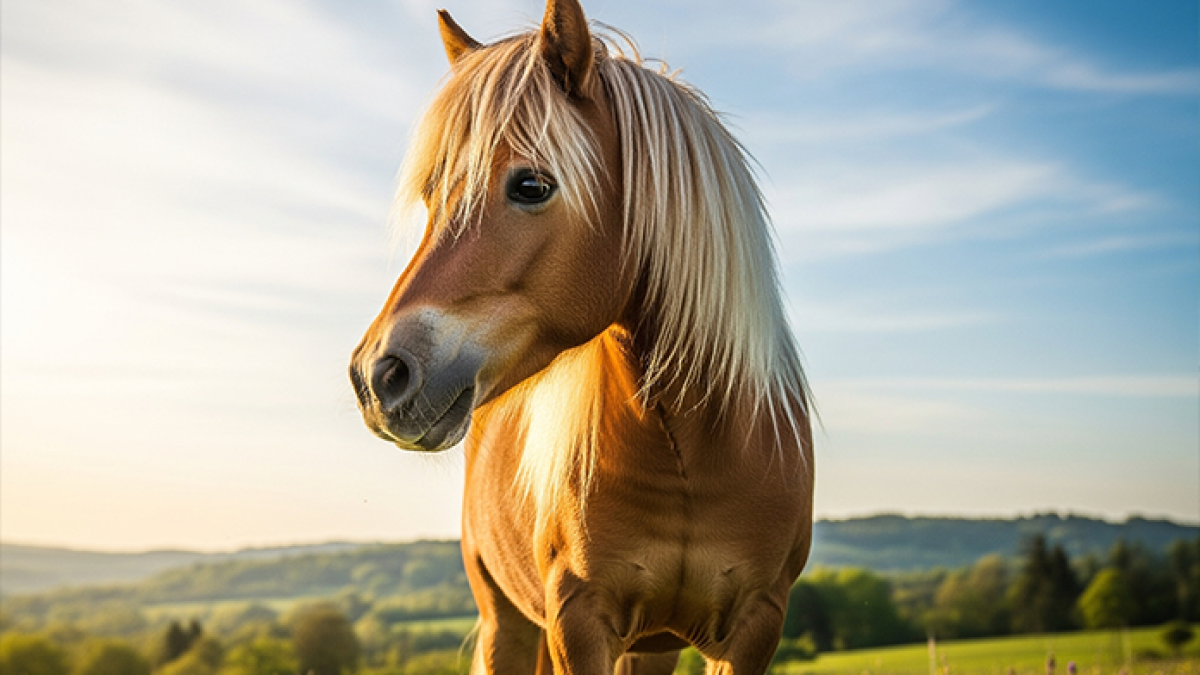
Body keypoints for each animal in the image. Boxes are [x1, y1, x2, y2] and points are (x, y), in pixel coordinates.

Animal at [350, 0, 814, 672]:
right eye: (434, 195)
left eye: (531, 185)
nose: (378, 375)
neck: (691, 451)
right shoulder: (578, 620)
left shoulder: (756, 625)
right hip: (508, 622)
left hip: (651, 646)